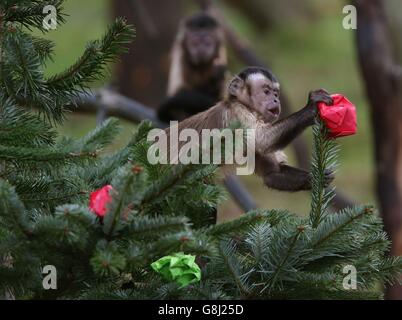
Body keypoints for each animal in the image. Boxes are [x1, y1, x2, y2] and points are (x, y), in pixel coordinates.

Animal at [165, 67, 334, 191]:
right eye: (266, 91)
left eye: (276, 93)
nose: (276, 100)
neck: (246, 106)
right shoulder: (237, 114)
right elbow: (261, 139)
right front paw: (311, 107)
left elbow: (272, 173)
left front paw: (317, 177)